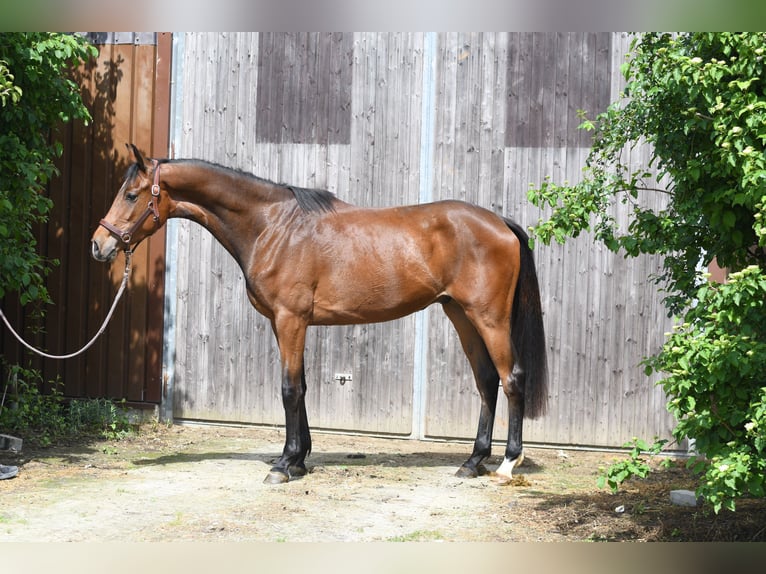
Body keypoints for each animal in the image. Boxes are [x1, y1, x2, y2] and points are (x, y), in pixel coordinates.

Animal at [92, 144, 548, 485]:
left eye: (131, 195)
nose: (99, 244)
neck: (273, 226)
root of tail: (501, 223)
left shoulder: (290, 319)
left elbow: (289, 389)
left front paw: (283, 464)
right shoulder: (285, 323)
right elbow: (303, 386)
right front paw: (299, 460)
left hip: (488, 318)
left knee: (511, 378)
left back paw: (508, 463)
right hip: (459, 314)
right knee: (486, 380)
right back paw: (472, 462)